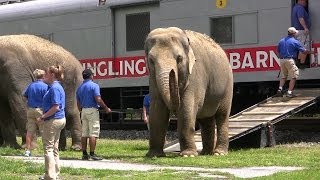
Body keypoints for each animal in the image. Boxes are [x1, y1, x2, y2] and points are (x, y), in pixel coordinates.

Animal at [144, 27, 232, 158]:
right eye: (151, 60)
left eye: (179, 58)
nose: (172, 72)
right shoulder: (152, 78)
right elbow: (157, 109)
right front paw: (154, 155)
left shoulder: (194, 74)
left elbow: (187, 108)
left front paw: (188, 155)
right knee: (206, 120)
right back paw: (206, 153)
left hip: (227, 86)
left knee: (222, 116)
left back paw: (219, 153)